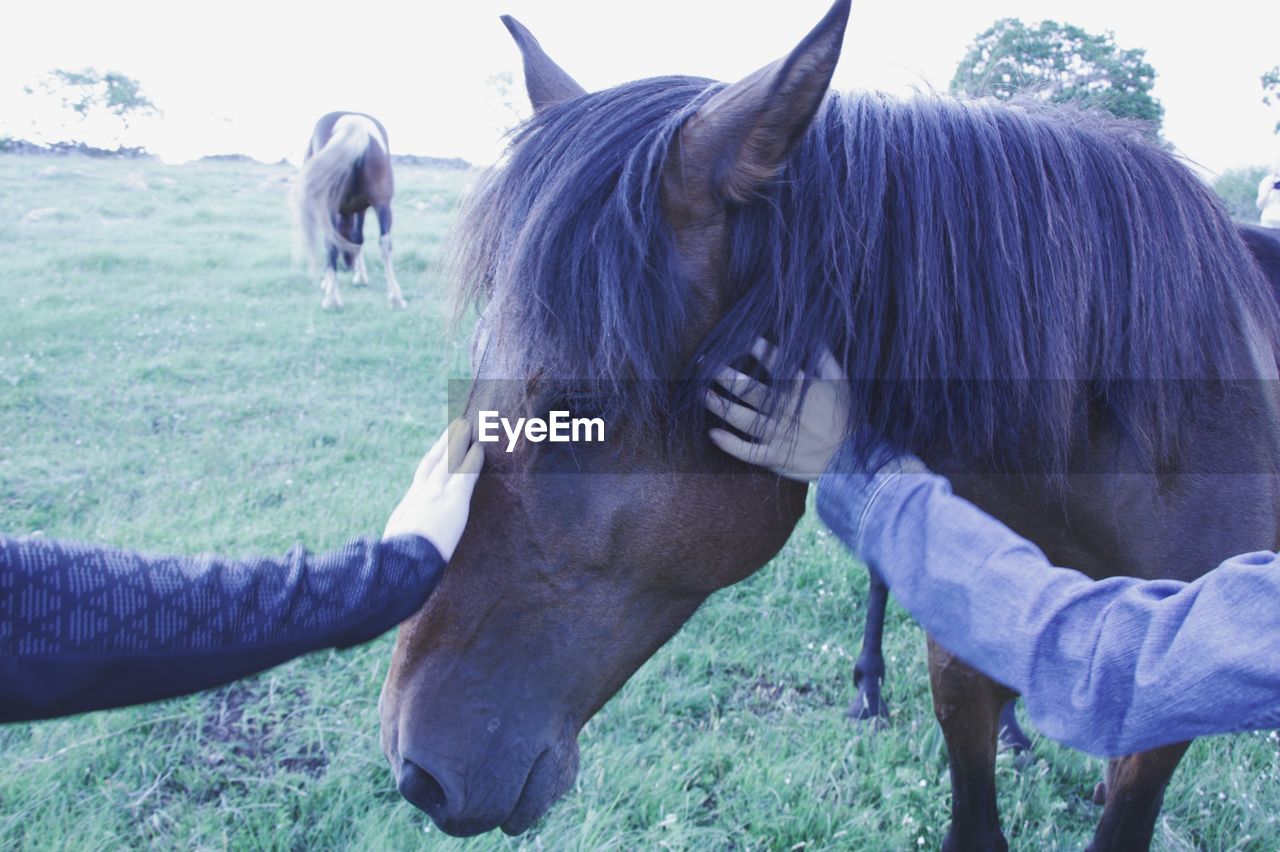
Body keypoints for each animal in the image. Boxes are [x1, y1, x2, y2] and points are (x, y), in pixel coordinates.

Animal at [293, 111, 404, 310]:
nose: (348, 264)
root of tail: (354, 123)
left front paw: (334, 280)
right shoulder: (361, 207)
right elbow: (358, 238)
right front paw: (359, 276)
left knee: (330, 242)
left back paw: (331, 299)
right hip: (383, 203)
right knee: (385, 243)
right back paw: (396, 297)